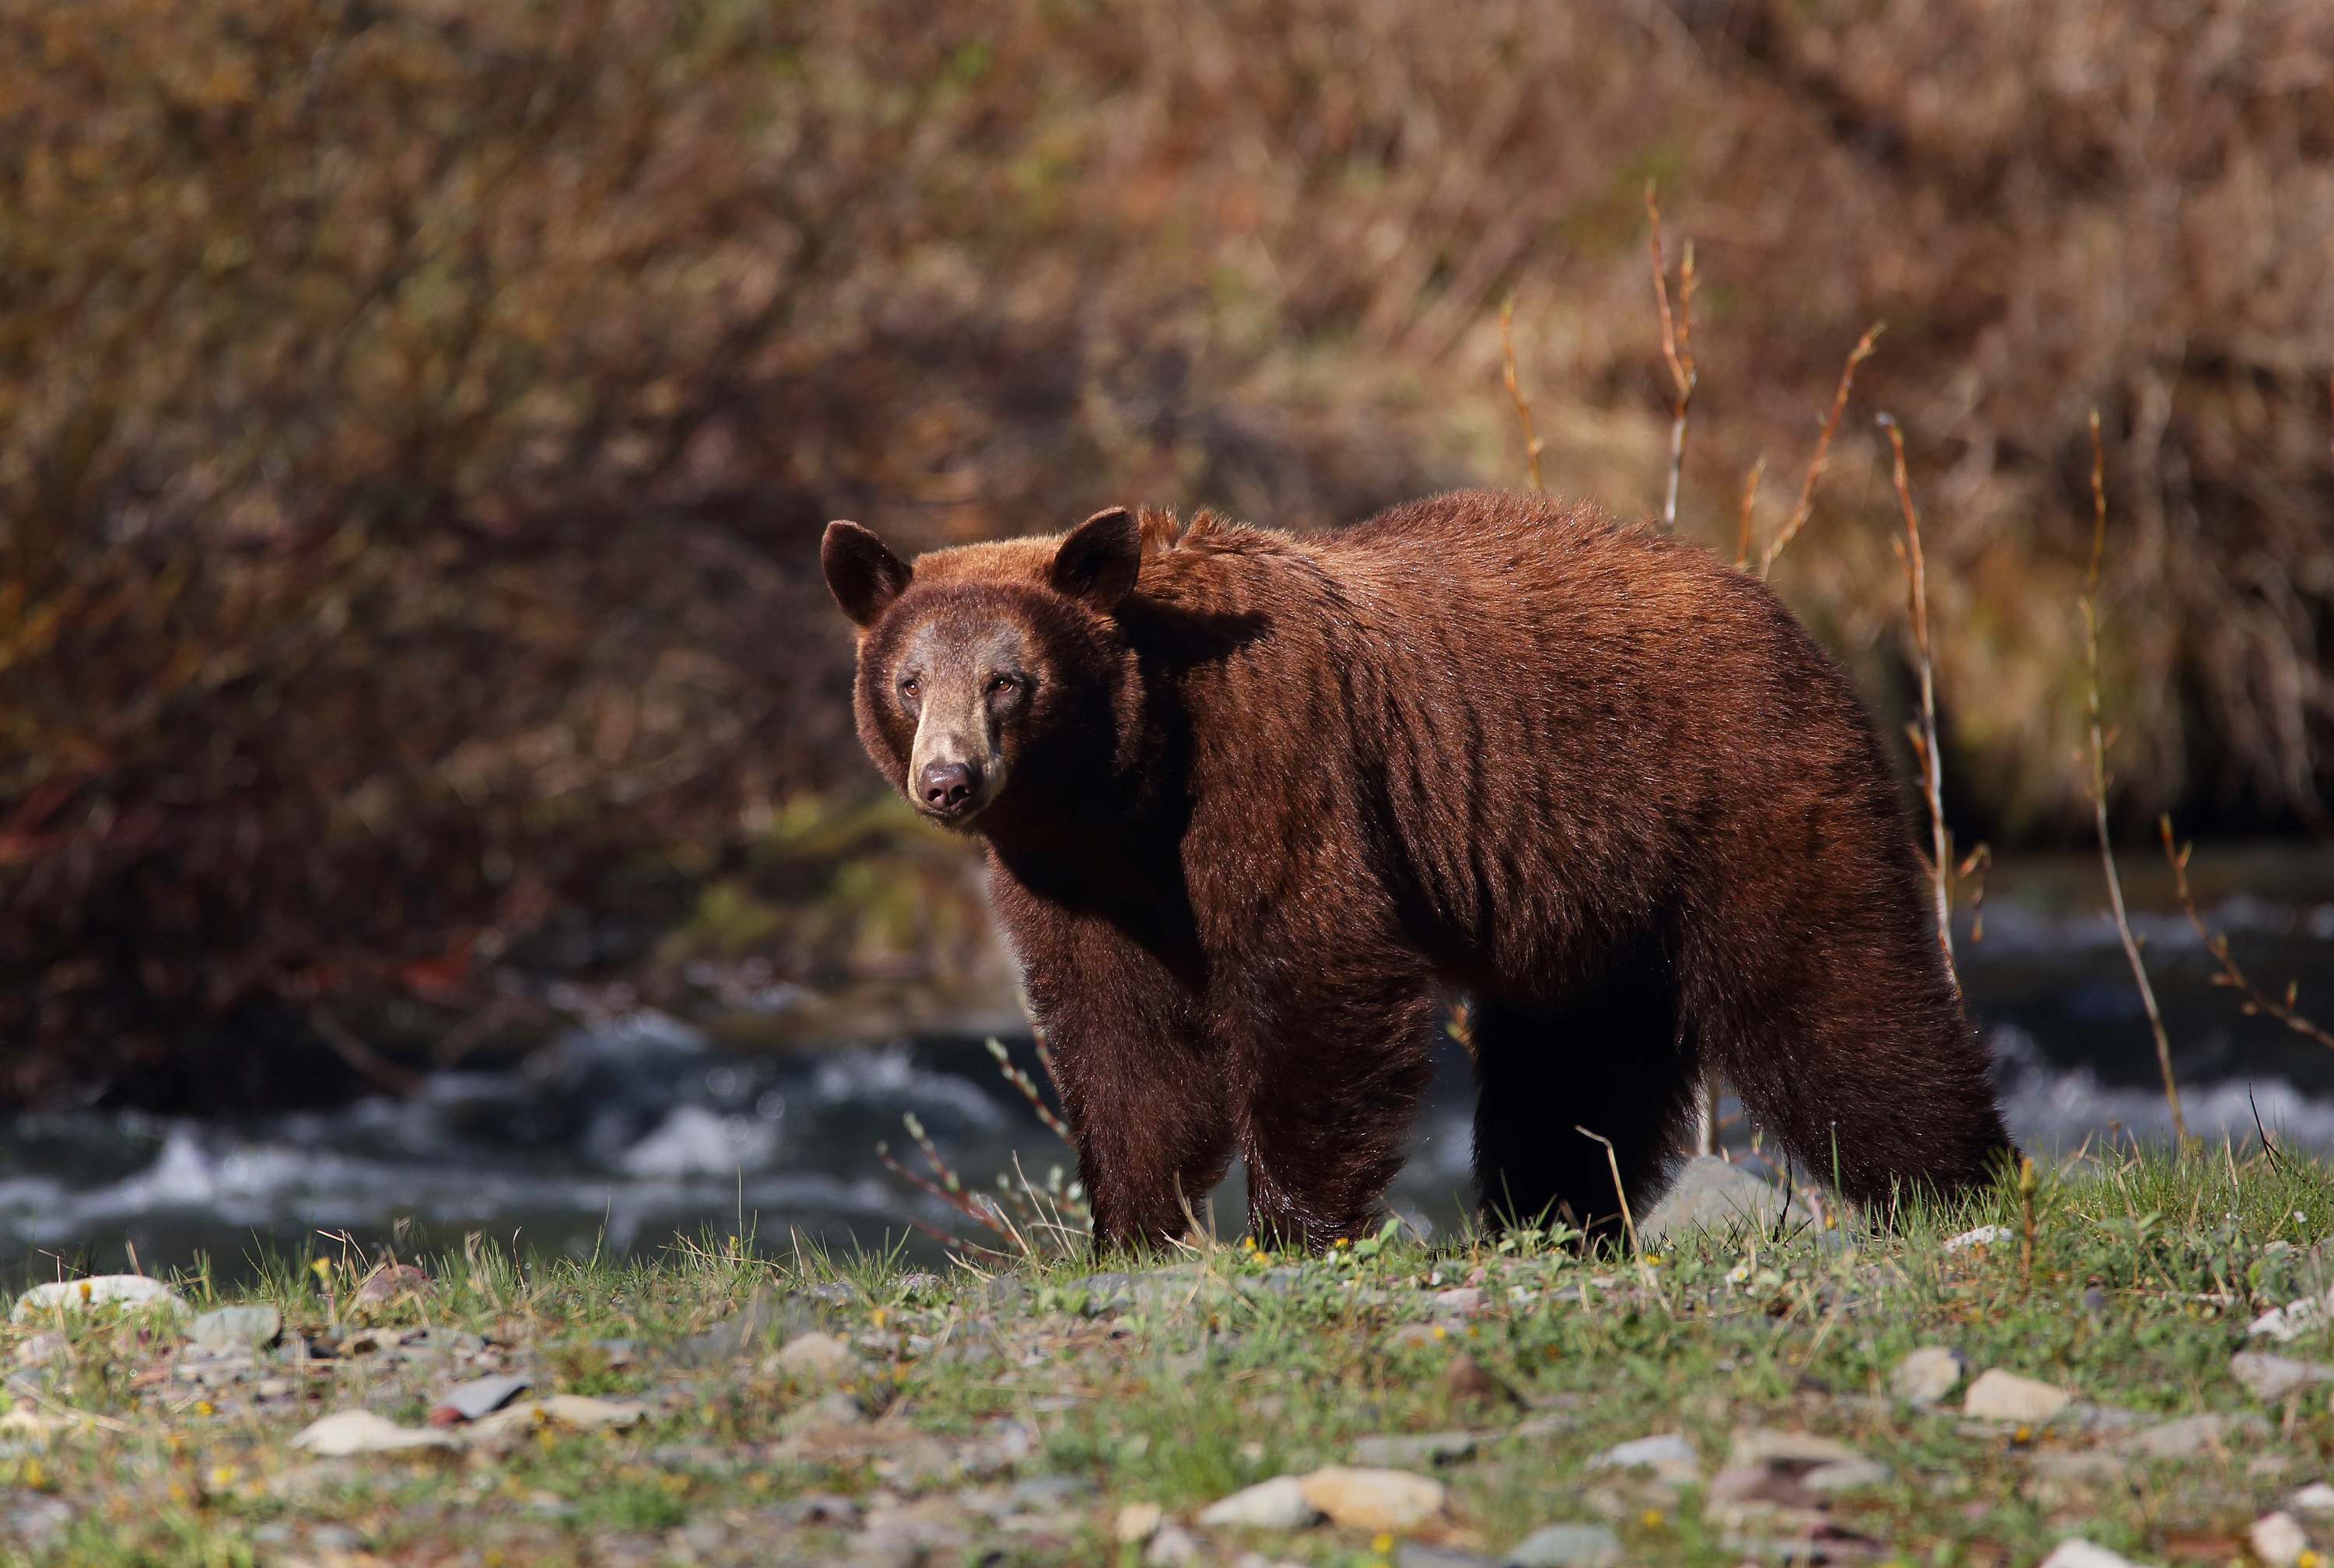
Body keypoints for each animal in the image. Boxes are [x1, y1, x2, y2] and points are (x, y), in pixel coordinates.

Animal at [822, 490, 2007, 1251]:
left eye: (1008, 680)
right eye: (909, 679)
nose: (948, 780)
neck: (1129, 787)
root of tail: (1776, 606)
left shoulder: (1275, 766)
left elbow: (1314, 974)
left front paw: (1295, 1227)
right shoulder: (1075, 880)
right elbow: (1116, 1038)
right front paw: (1132, 1224)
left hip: (1729, 792)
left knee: (1833, 994)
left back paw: (1956, 1184)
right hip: (1592, 898)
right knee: (1574, 1069)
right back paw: (1551, 1214)